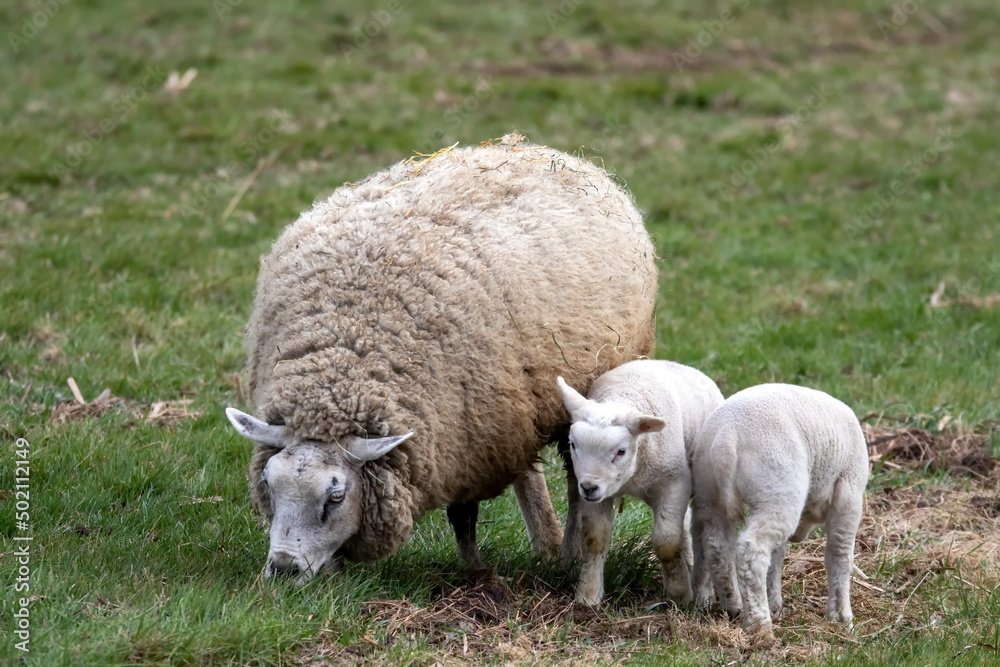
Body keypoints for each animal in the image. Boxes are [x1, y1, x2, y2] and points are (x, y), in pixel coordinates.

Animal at [225, 133, 658, 584]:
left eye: (336, 497)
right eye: (268, 484)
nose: (282, 568)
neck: (344, 355)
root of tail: (537, 149)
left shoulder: (463, 445)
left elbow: (463, 516)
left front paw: (476, 576)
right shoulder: (469, 437)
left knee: (577, 480)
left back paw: (567, 554)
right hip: (514, 409)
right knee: (528, 470)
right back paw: (546, 543)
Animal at [556, 359, 724, 606]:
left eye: (620, 451)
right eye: (573, 444)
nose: (588, 487)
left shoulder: (674, 482)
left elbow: (666, 542)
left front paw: (679, 594)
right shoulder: (597, 493)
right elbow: (595, 538)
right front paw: (588, 595)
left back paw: (704, 596)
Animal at [690, 383, 868, 635]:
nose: (798, 536)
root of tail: (726, 439)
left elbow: (777, 556)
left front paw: (774, 602)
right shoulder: (849, 492)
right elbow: (840, 554)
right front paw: (842, 617)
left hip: (709, 492)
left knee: (717, 547)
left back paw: (732, 604)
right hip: (779, 487)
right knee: (752, 551)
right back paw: (759, 624)